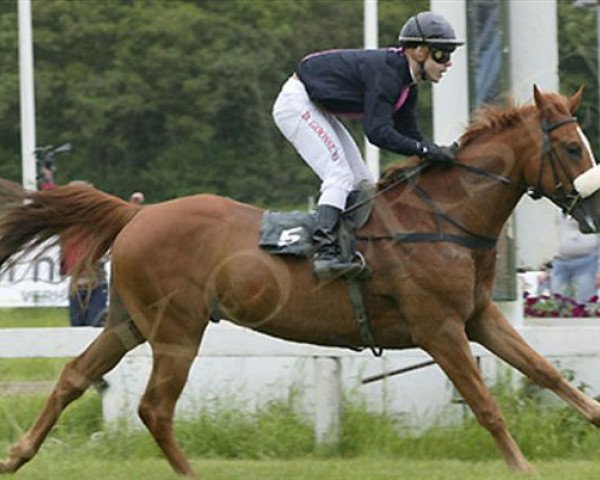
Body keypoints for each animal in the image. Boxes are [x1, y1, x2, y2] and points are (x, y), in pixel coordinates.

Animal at [2, 85, 600, 476]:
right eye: (573, 147)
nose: (593, 210)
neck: (442, 217)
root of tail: (137, 213)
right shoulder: (439, 327)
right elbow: (485, 404)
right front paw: (524, 468)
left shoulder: (477, 316)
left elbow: (545, 371)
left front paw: (593, 420)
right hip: (176, 329)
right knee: (155, 408)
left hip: (129, 322)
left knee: (75, 376)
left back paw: (17, 455)